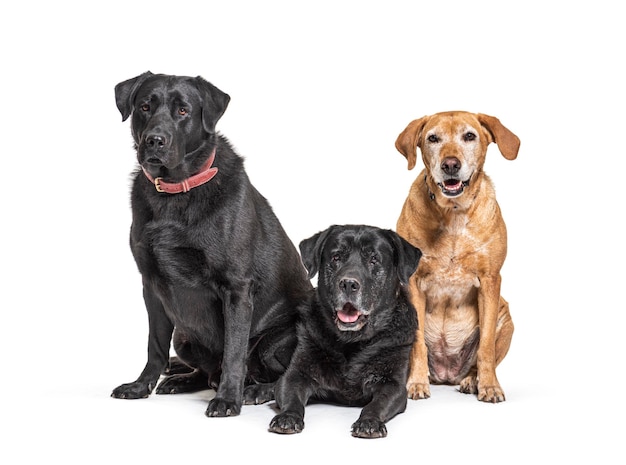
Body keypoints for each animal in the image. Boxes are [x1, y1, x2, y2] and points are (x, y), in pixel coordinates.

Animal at [112, 71, 312, 416]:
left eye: (183, 110)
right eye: (145, 106)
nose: (155, 140)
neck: (177, 190)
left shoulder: (236, 288)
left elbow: (234, 351)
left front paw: (228, 399)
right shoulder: (151, 286)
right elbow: (154, 346)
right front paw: (140, 386)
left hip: (277, 339)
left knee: (282, 373)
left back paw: (255, 391)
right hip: (184, 336)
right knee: (205, 370)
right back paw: (182, 380)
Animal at [266, 223, 420, 436]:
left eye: (374, 259)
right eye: (336, 257)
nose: (348, 283)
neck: (351, 341)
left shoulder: (393, 385)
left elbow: (376, 404)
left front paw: (369, 421)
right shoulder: (296, 374)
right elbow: (291, 395)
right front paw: (288, 416)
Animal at [394, 110, 516, 400]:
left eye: (469, 136)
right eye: (433, 138)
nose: (450, 164)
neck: (453, 213)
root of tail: (446, 373)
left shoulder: (490, 280)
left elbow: (486, 347)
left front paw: (489, 386)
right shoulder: (412, 282)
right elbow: (417, 344)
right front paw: (416, 383)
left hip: (506, 317)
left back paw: (472, 380)